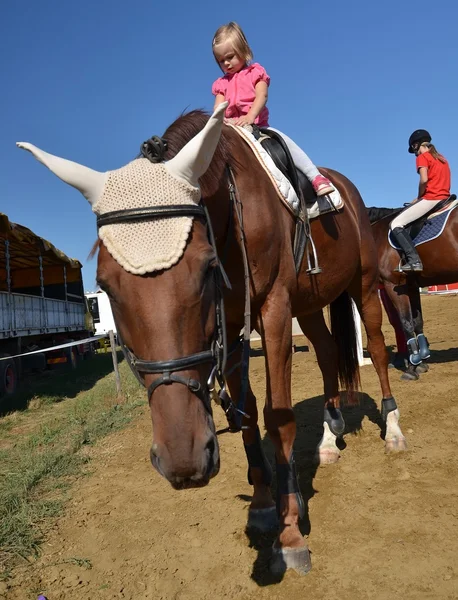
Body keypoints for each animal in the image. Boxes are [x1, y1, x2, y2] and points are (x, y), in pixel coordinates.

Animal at [17, 104, 404, 576]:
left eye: (205, 268)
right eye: (105, 286)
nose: (183, 458)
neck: (233, 215)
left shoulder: (273, 310)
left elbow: (278, 416)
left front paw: (291, 530)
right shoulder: (231, 323)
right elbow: (247, 414)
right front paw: (263, 504)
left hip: (362, 285)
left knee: (378, 347)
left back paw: (393, 428)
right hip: (311, 303)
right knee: (328, 353)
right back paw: (329, 440)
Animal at [368, 204, 458, 378]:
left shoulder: (394, 286)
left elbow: (406, 323)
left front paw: (411, 367)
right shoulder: (412, 286)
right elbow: (418, 322)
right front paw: (422, 362)